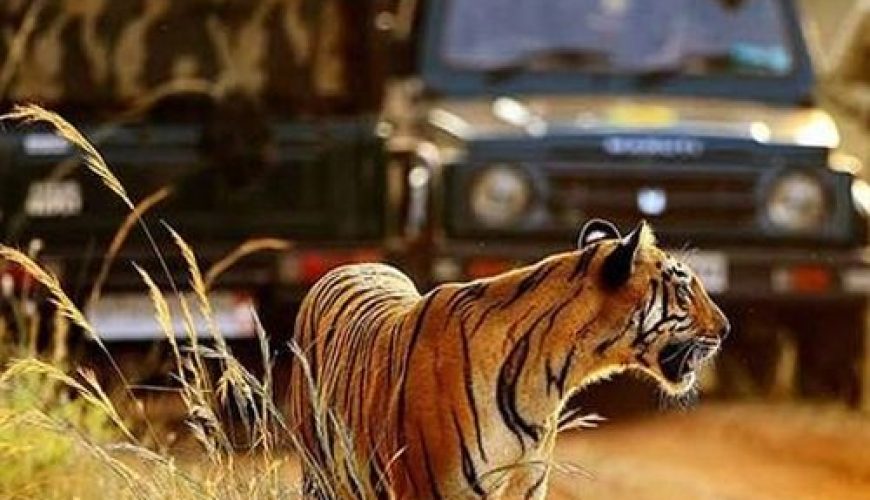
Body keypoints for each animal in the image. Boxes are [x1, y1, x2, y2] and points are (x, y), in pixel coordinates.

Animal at [288, 219, 729, 499]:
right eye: (684, 290)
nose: (725, 328)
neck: (551, 378)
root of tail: (350, 264)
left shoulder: (527, 483)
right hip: (320, 473)